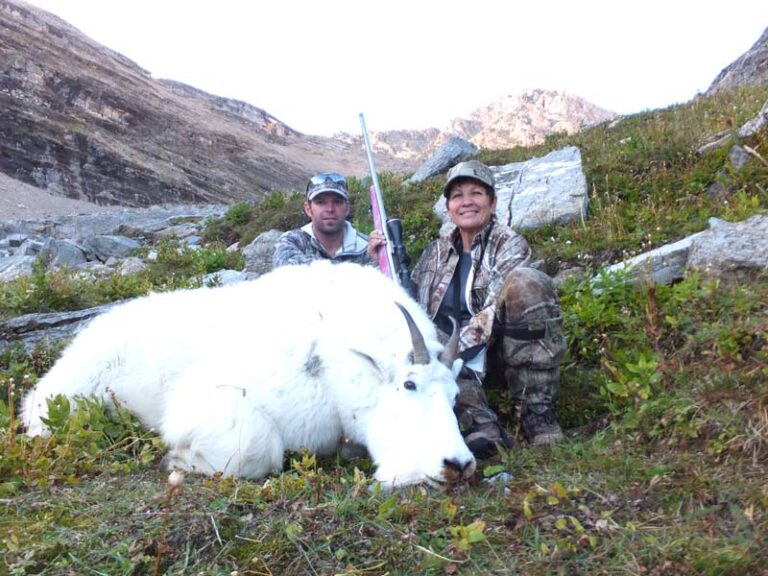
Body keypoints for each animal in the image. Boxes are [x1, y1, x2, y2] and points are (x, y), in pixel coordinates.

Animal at [22, 260, 474, 490]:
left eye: (454, 396)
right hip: (71, 398)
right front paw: (179, 458)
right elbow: (258, 451)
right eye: (409, 384)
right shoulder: (217, 401)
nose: (458, 464)